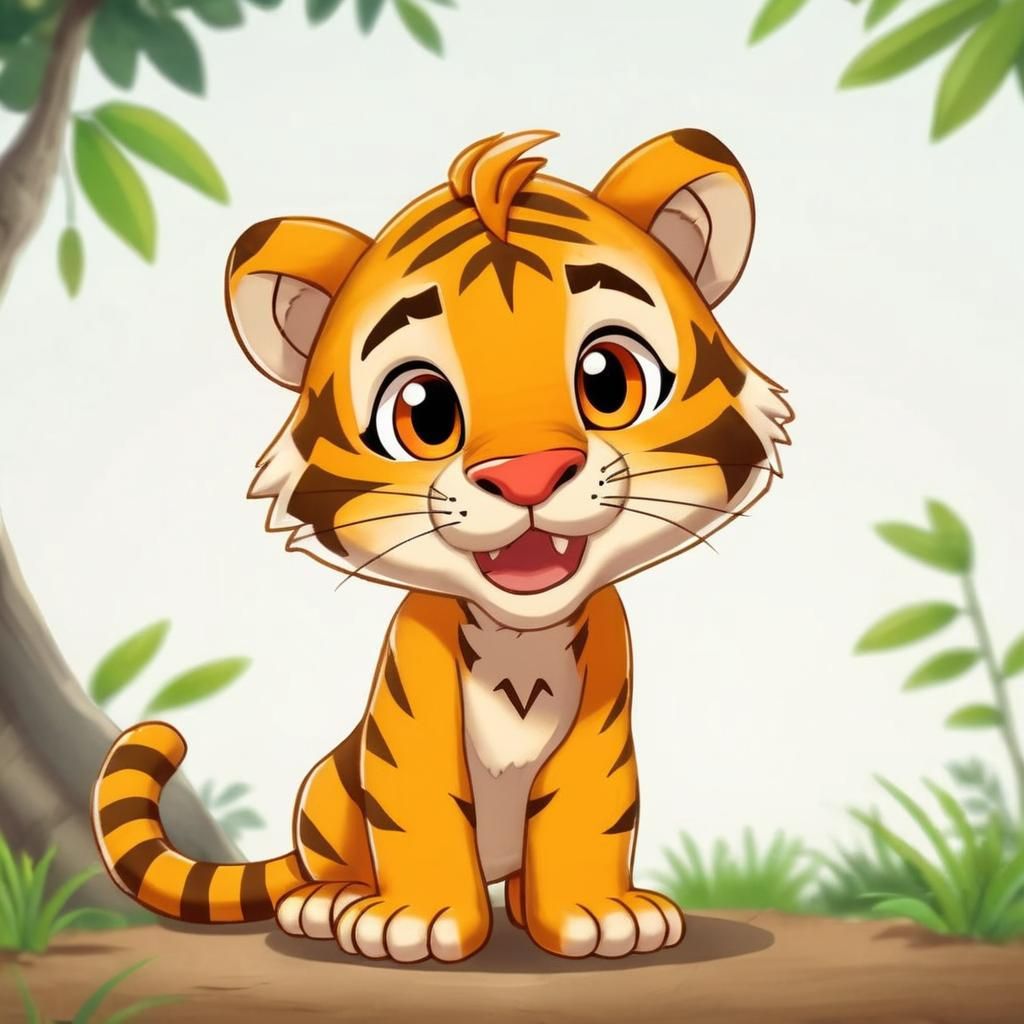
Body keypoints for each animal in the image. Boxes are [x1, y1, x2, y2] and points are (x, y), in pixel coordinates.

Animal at [91, 129, 792, 963]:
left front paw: (598, 914)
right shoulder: (407, 720)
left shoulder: (605, 717)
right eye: (423, 411)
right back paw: (330, 902)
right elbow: (419, 807)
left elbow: (587, 806)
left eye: (609, 379)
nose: (526, 474)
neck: (522, 637)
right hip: (328, 790)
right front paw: (415, 923)